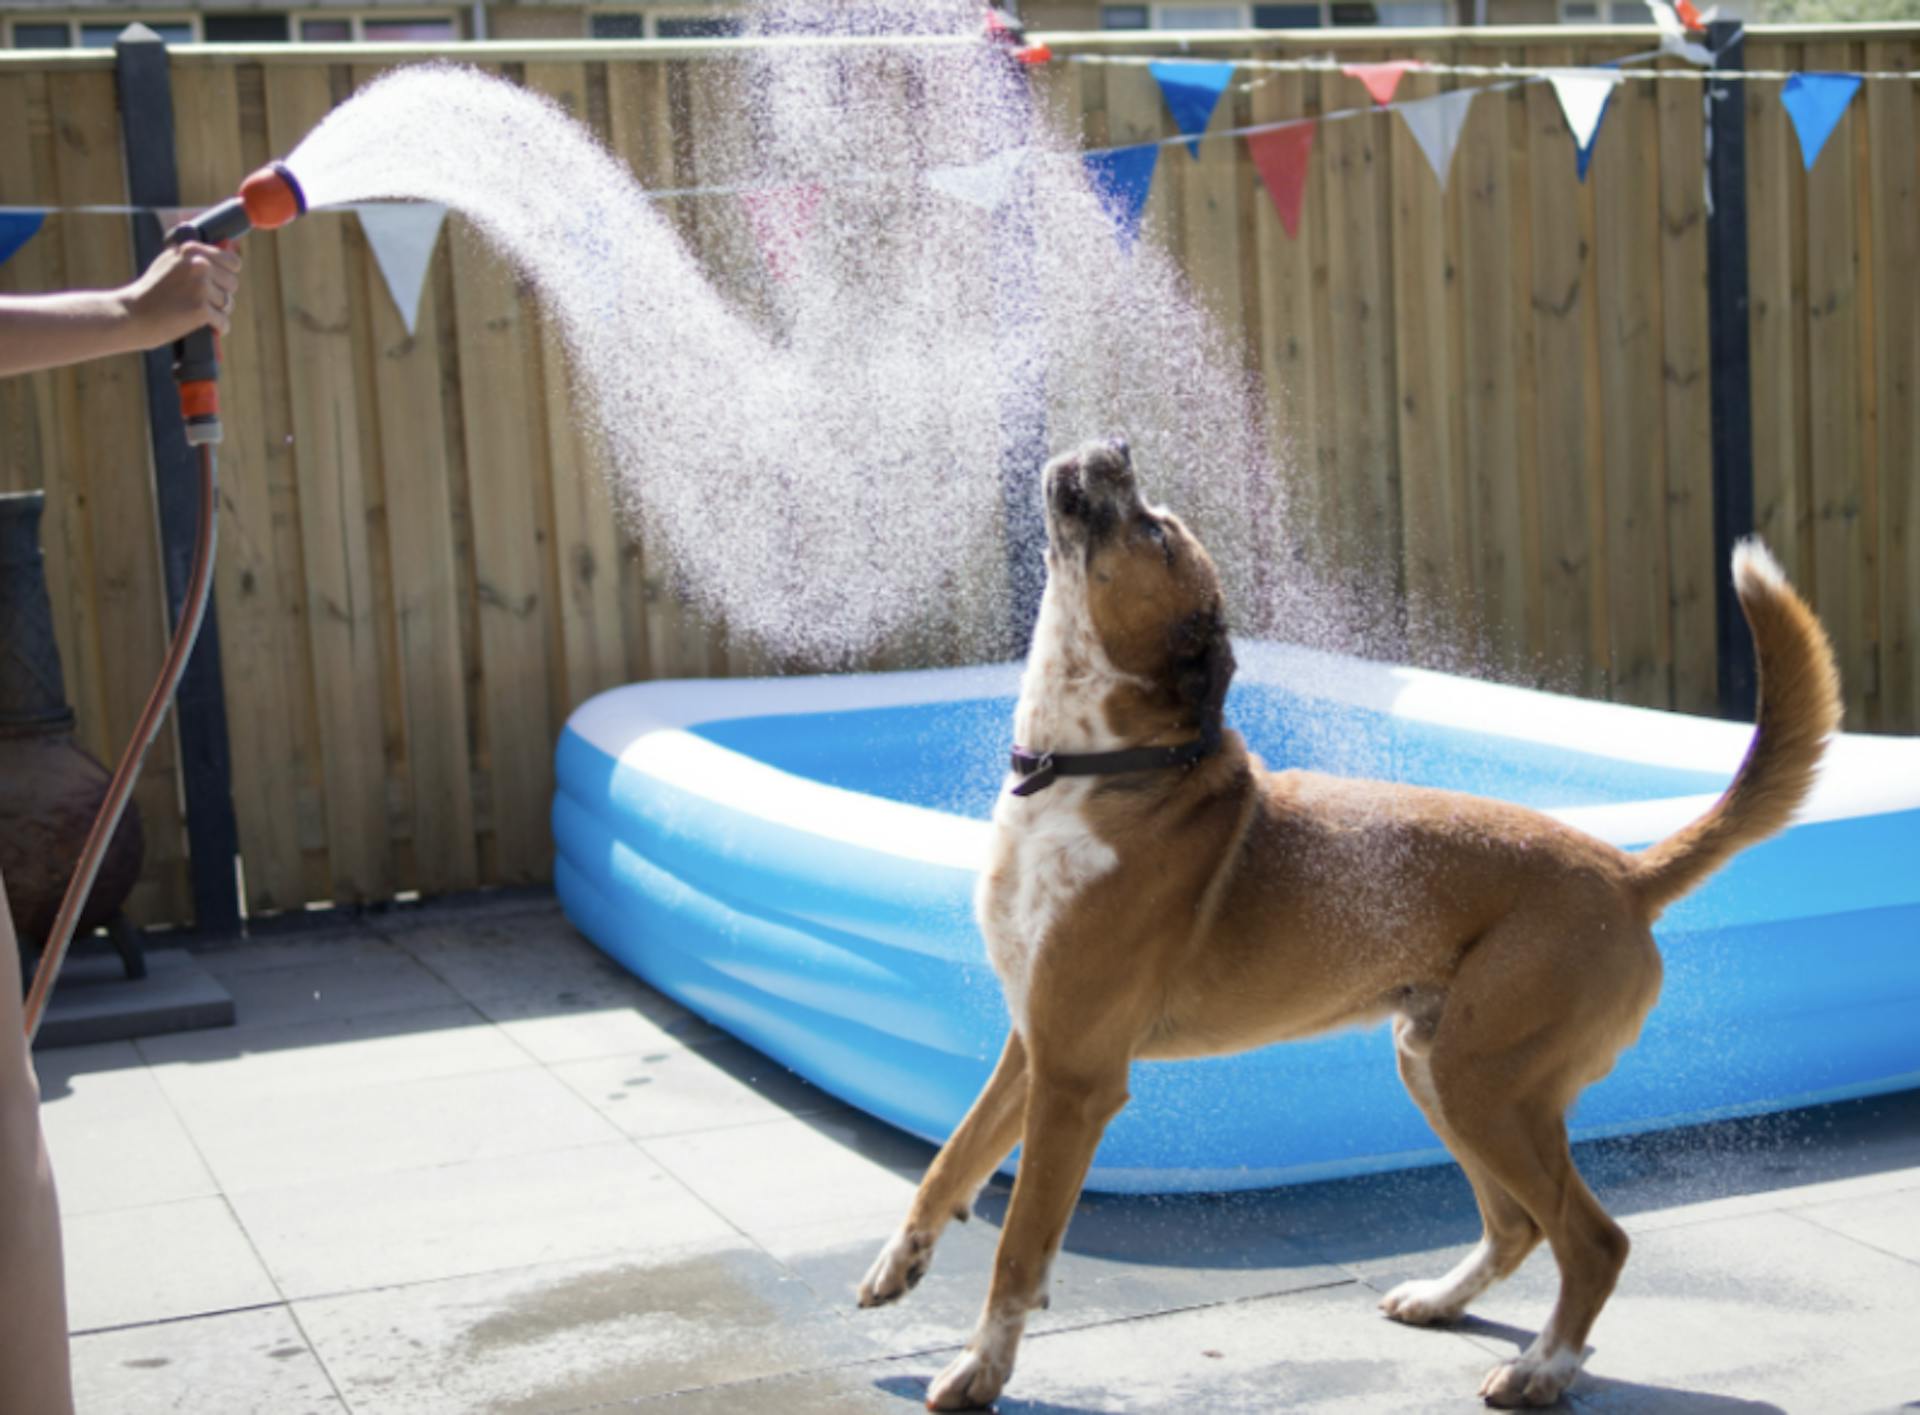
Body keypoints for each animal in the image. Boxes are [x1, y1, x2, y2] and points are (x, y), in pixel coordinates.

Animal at [860, 435, 1843, 1405]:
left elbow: (1021, 1244)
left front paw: (980, 1367)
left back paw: (1542, 1368)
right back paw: (1444, 1300)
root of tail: (1626, 872)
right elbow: (951, 1161)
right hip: (1439, 1067)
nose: (1115, 445)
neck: (1096, 770)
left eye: (1156, 533)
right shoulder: (1032, 1043)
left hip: (1486, 1084)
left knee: (1593, 1239)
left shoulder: (1075, 1077)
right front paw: (899, 1262)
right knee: (1519, 1223)